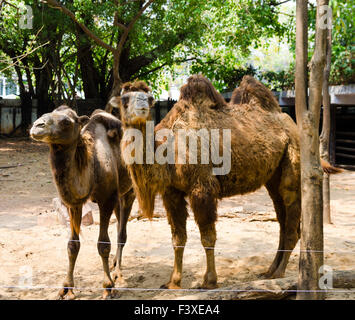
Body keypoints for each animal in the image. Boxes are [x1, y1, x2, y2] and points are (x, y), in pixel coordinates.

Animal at [29, 106, 134, 298]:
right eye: (45, 114)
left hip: (130, 190)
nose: (37, 126)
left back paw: (118, 274)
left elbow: (103, 245)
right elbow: (72, 245)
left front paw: (108, 287)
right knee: (119, 225)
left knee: (122, 233)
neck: (92, 165)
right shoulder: (74, 204)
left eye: (66, 122)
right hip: (119, 195)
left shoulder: (106, 200)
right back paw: (115, 264)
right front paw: (66, 288)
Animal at [118, 75, 344, 290]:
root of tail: (295, 127)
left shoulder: (202, 188)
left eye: (148, 98)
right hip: (273, 177)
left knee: (290, 222)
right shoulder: (172, 192)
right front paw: (173, 282)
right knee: (282, 218)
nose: (141, 107)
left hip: (293, 164)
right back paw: (269, 270)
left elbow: (207, 237)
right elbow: (178, 238)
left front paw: (209, 281)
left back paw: (279, 273)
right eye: (124, 99)